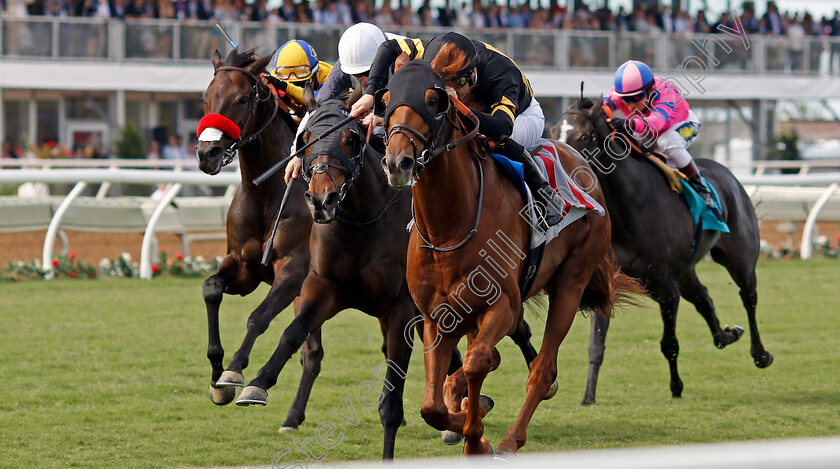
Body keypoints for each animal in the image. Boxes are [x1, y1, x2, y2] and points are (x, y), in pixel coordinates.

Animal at [374, 57, 636, 454]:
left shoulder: (504, 305)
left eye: (433, 102)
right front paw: (465, 420)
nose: (397, 162)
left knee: (542, 370)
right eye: (387, 99)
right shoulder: (437, 316)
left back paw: (511, 439)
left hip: (571, 283)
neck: (449, 227)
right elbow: (431, 406)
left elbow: (476, 363)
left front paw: (477, 438)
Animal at [552, 97, 776, 404]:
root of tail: (727, 174)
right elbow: (596, 345)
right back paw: (727, 335)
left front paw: (676, 386)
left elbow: (669, 343)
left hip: (739, 258)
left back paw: (760, 354)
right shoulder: (608, 282)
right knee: (705, 299)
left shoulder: (667, 288)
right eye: (553, 131)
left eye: (584, 136)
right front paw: (588, 397)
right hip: (687, 271)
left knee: (748, 296)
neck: (631, 211)